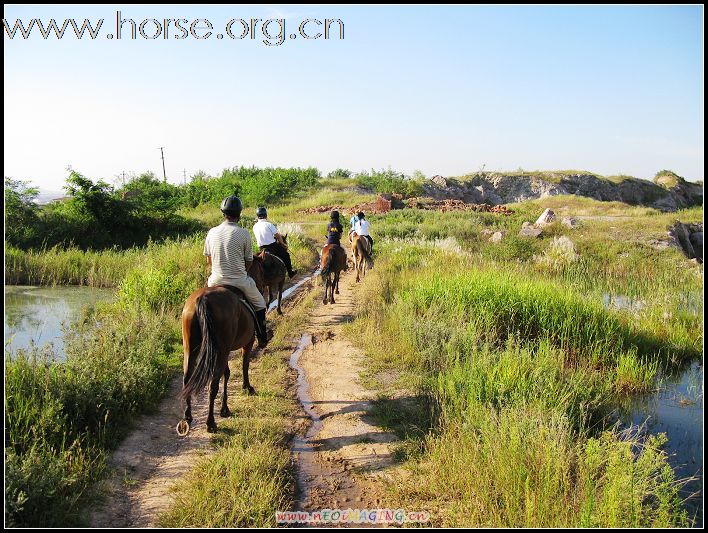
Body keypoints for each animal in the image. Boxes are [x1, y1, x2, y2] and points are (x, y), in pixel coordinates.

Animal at [177, 256, 266, 434]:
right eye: (261, 270)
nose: (263, 286)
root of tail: (203, 299)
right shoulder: (248, 342)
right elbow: (244, 365)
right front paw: (247, 387)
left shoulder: (224, 350)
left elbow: (228, 373)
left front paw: (225, 408)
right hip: (222, 349)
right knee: (213, 383)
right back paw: (210, 422)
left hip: (192, 348)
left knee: (187, 378)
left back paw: (188, 416)